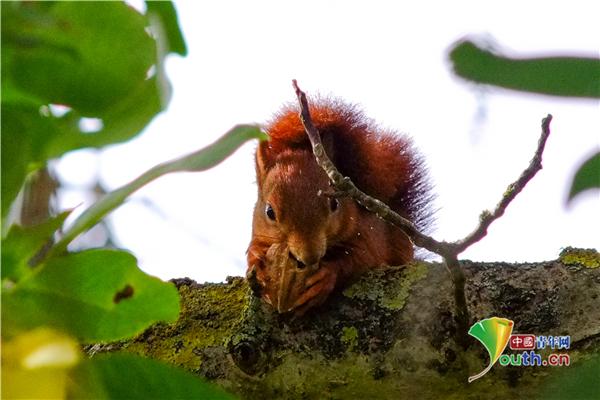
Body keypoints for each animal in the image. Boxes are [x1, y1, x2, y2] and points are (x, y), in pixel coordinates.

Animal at [246, 97, 434, 316]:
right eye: (269, 212)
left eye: (334, 203)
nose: (310, 256)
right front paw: (256, 258)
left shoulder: (368, 235)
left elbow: (362, 258)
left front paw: (327, 276)